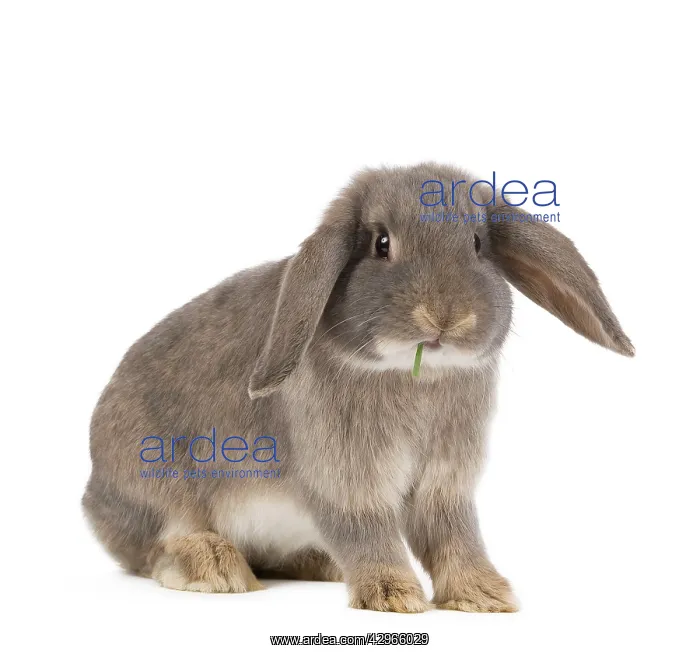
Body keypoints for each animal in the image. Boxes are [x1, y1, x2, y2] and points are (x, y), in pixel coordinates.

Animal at [83, 163, 634, 613]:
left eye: (478, 244)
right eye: (380, 243)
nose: (445, 316)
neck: (412, 374)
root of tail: (92, 495)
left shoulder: (444, 485)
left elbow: (454, 534)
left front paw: (484, 595)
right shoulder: (347, 477)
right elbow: (365, 528)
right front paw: (393, 595)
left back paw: (318, 564)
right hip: (152, 478)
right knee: (158, 542)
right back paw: (214, 566)